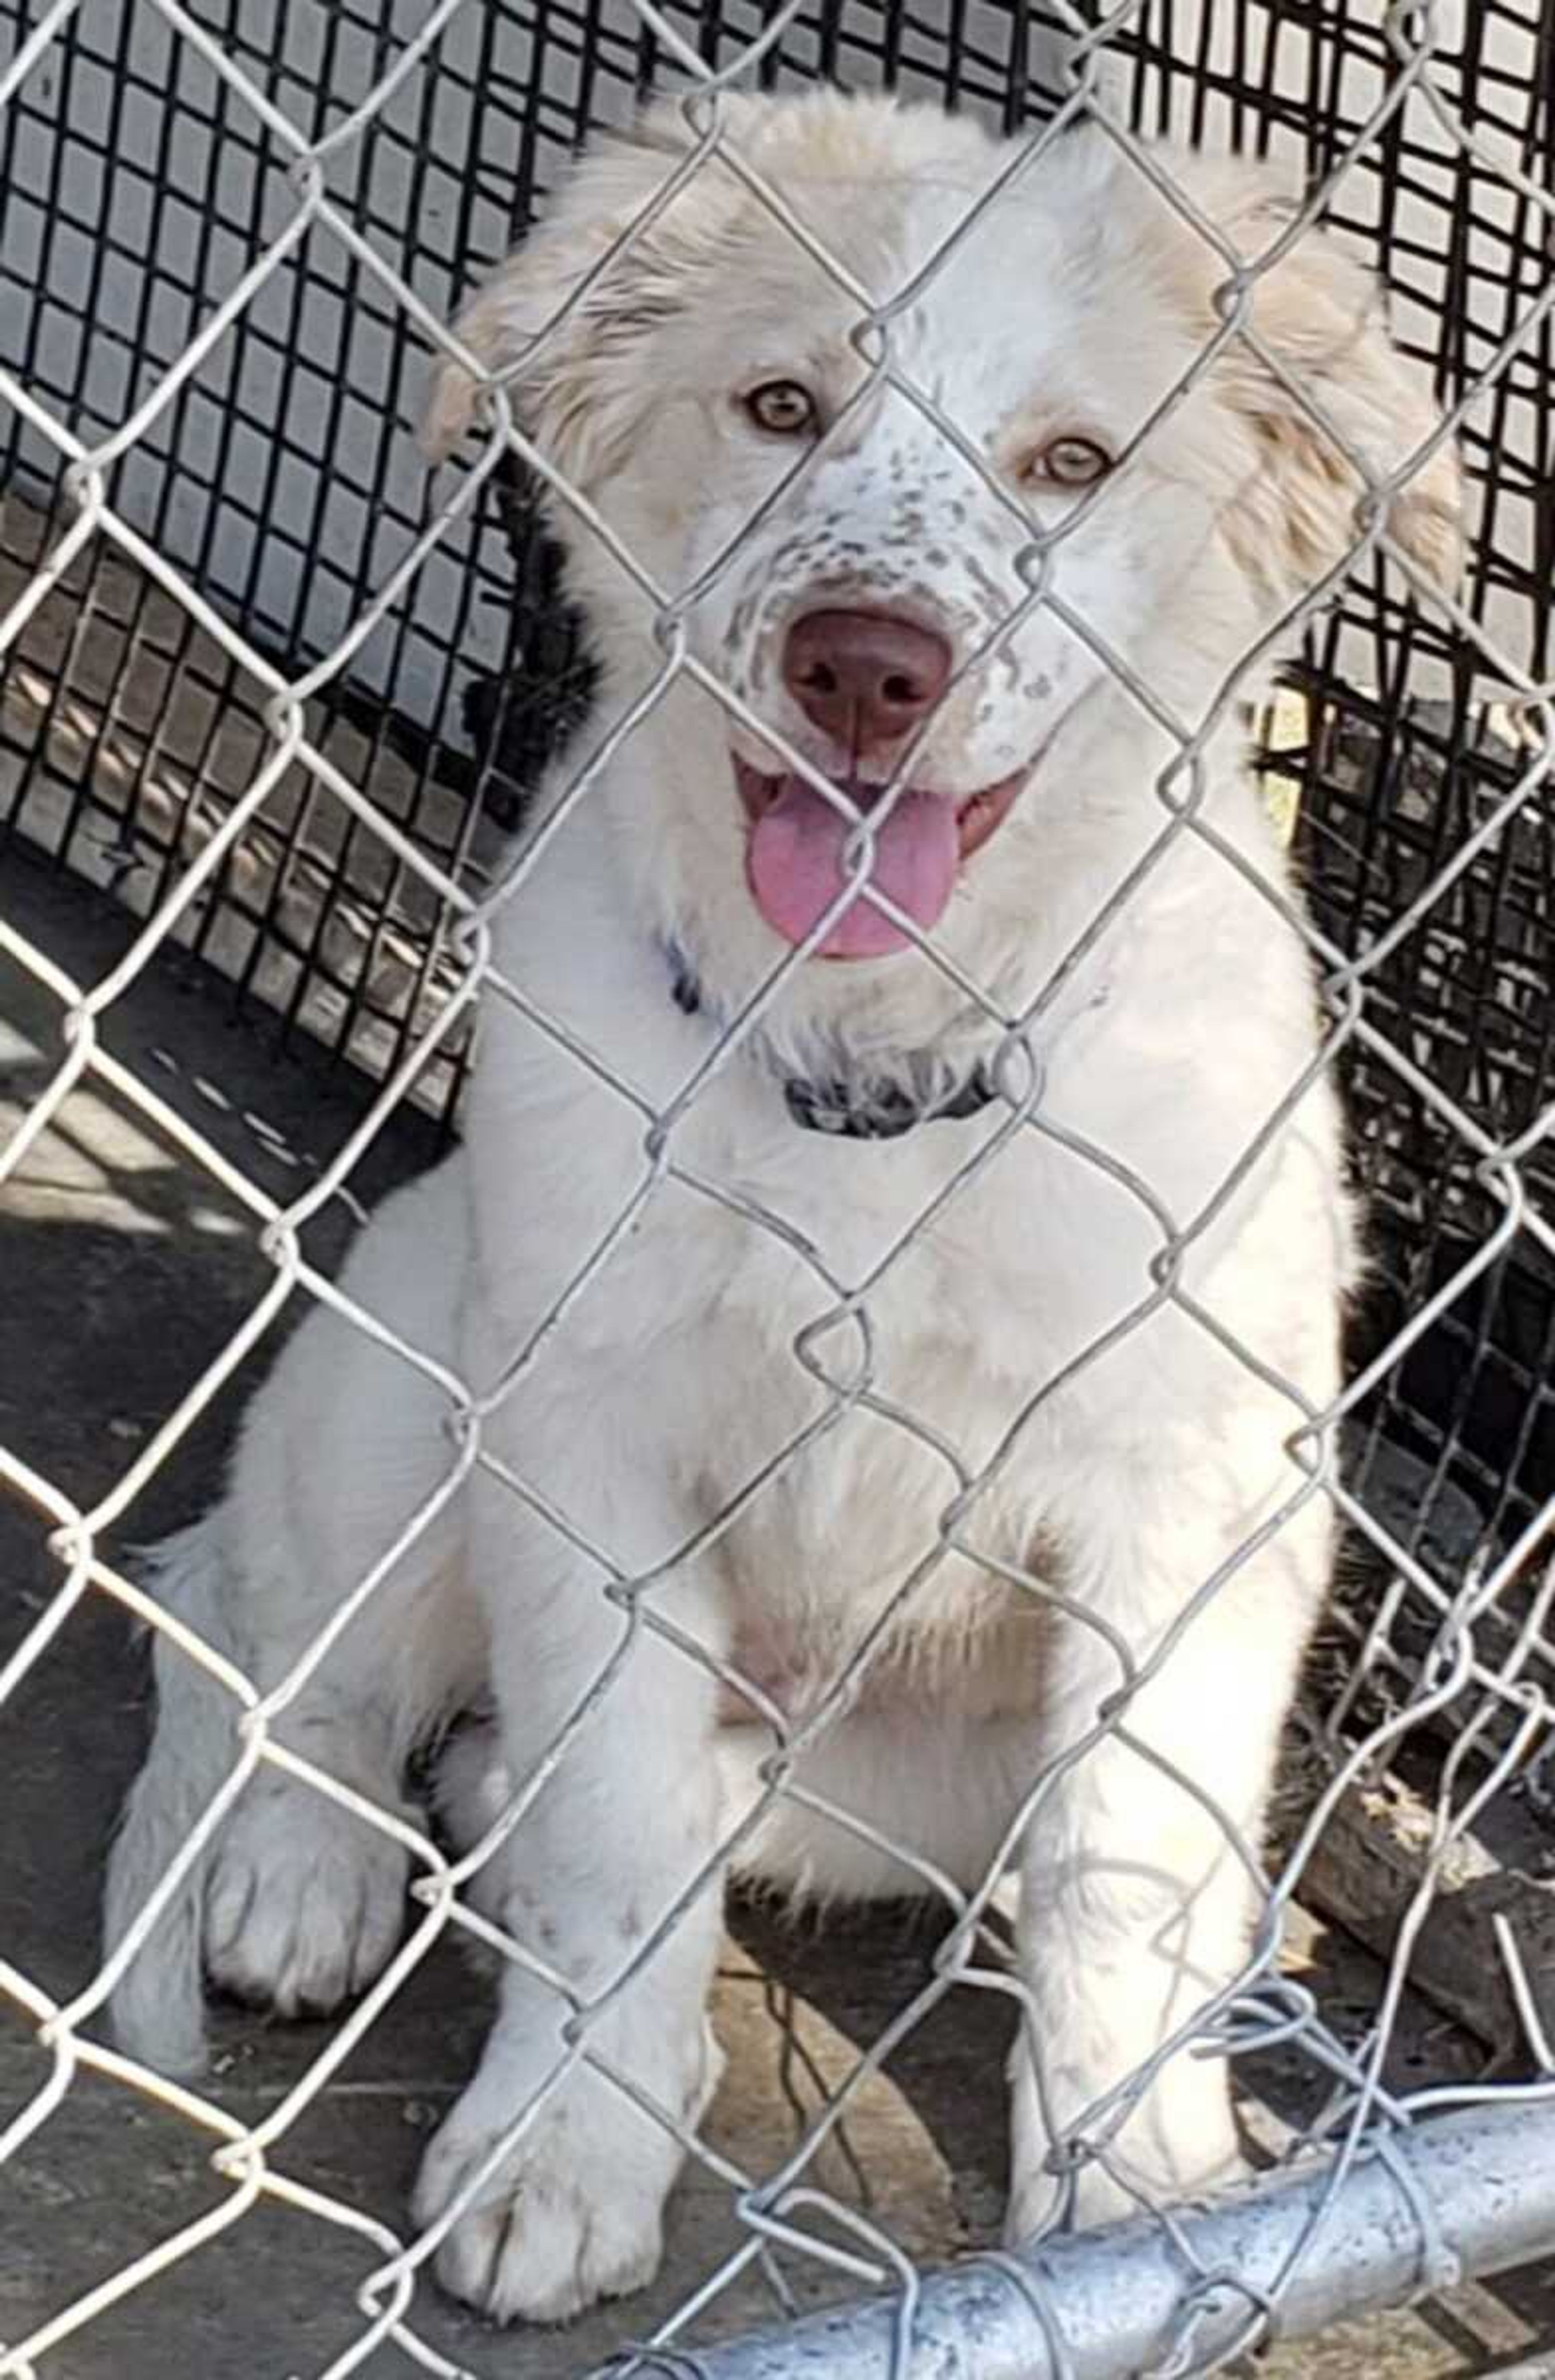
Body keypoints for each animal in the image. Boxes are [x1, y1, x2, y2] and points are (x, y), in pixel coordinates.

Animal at [106, 93, 1457, 2323]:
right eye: (779, 405)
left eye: (1071, 462)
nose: (867, 670)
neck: (878, 1072)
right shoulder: (586, 1446)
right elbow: (615, 1825)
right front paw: (560, 2146)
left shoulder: (1196, 1492)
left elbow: (1124, 1862)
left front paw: (1145, 2196)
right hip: (412, 1342)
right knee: (284, 1627)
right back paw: (301, 1867)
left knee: (560, 1775)